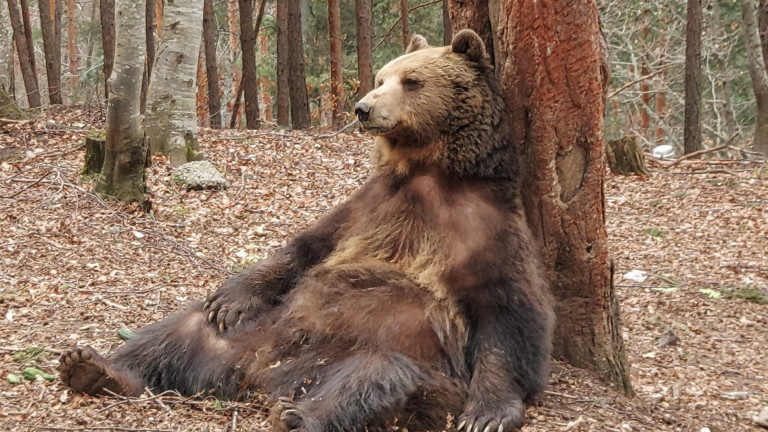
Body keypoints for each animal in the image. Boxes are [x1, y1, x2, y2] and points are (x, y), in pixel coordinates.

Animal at [58, 29, 552, 432]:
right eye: (382, 76)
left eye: (412, 80)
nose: (364, 108)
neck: (429, 172)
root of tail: (261, 373)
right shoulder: (369, 207)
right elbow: (306, 246)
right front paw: (229, 299)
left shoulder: (484, 226)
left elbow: (510, 314)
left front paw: (487, 413)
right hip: (250, 332)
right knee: (178, 332)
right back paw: (92, 366)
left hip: (392, 359)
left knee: (371, 377)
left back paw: (298, 415)